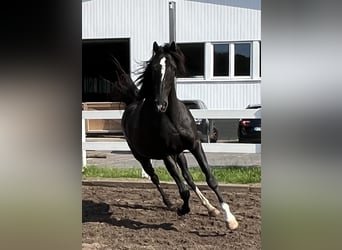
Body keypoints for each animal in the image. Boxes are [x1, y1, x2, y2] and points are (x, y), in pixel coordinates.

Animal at [107, 41, 238, 230]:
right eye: (153, 68)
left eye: (172, 69)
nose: (160, 105)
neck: (173, 119)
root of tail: (131, 105)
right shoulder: (166, 154)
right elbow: (183, 191)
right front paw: (183, 209)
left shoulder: (195, 145)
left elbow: (210, 178)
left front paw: (230, 218)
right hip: (142, 157)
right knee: (155, 178)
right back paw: (169, 202)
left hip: (180, 154)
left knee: (188, 178)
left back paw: (210, 208)